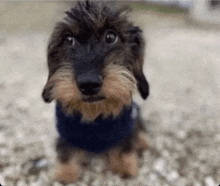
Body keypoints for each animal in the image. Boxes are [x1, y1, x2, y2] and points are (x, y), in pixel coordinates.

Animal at [42, 0, 150, 183]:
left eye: (111, 37)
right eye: (68, 39)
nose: (89, 83)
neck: (95, 114)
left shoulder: (126, 127)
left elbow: (125, 145)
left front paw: (124, 165)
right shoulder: (65, 133)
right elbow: (66, 150)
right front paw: (66, 172)